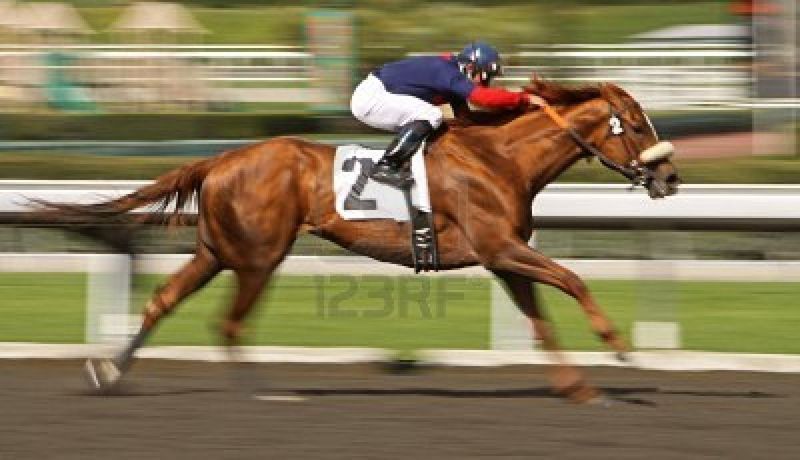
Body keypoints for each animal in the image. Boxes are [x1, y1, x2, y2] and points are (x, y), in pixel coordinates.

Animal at [36, 78, 680, 403]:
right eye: (637, 124)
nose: (671, 177)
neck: (499, 158)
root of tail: (219, 159)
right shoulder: (501, 248)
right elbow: (574, 278)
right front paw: (620, 348)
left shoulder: (504, 259)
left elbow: (542, 321)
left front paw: (581, 389)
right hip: (258, 257)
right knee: (230, 322)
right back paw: (259, 393)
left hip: (215, 251)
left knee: (163, 301)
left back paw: (109, 373)